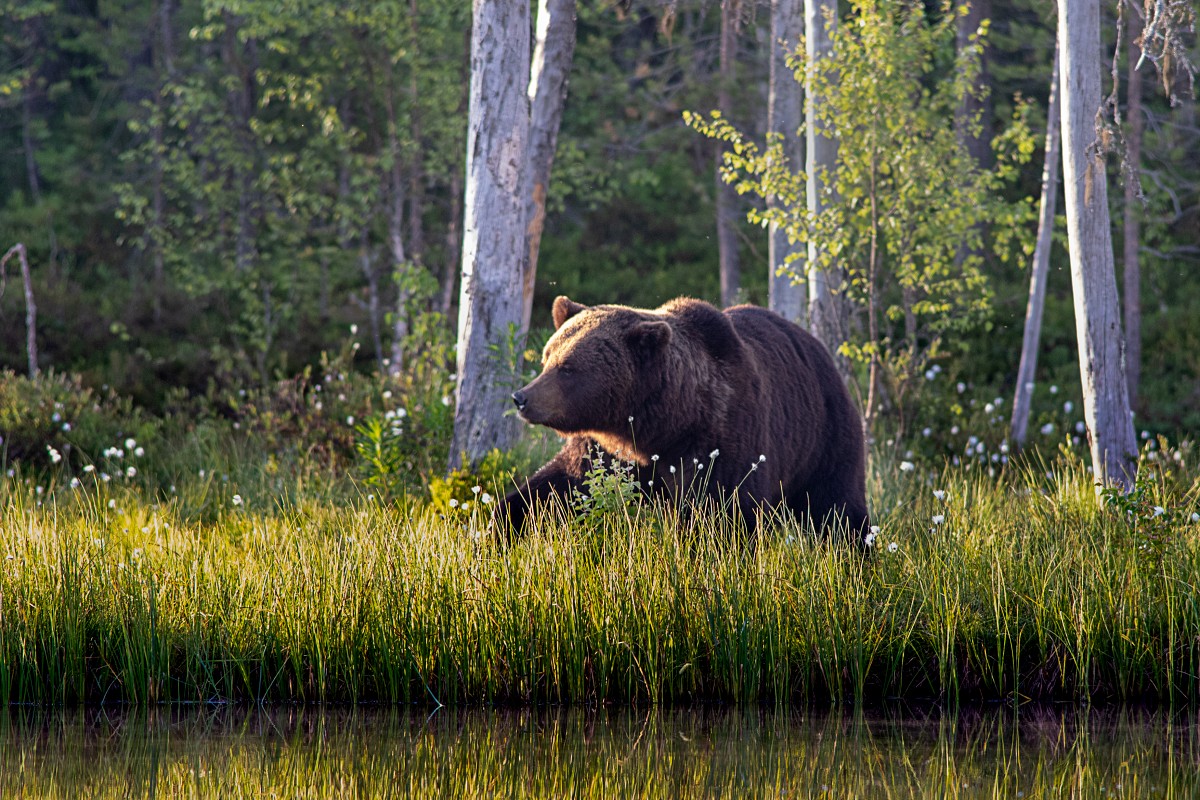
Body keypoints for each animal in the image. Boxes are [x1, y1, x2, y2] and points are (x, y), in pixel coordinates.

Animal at [496, 297, 873, 542]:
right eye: (547, 357)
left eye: (568, 368)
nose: (521, 398)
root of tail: (818, 348)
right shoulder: (606, 451)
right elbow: (557, 488)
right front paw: (501, 526)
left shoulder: (721, 441)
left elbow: (725, 514)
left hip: (824, 437)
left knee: (837, 508)